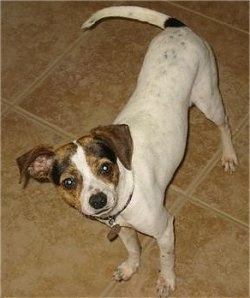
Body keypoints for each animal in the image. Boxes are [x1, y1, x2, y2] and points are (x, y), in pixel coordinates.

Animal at [17, 5, 238, 296]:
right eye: (68, 182)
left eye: (105, 167)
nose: (98, 200)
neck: (126, 189)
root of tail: (178, 28)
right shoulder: (122, 228)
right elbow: (133, 248)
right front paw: (131, 268)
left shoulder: (165, 229)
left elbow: (166, 259)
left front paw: (166, 280)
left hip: (208, 98)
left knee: (224, 124)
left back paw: (229, 155)